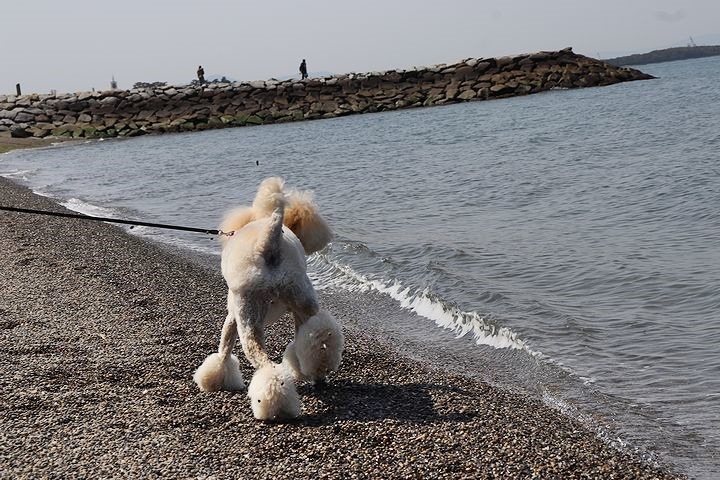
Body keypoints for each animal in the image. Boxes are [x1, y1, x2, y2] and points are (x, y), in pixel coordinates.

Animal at [195, 177, 344, 420]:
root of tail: (269, 241)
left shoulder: (233, 314)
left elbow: (224, 348)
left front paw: (215, 377)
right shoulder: (295, 309)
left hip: (249, 311)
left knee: (263, 361)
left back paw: (275, 403)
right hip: (301, 295)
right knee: (321, 330)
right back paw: (319, 370)